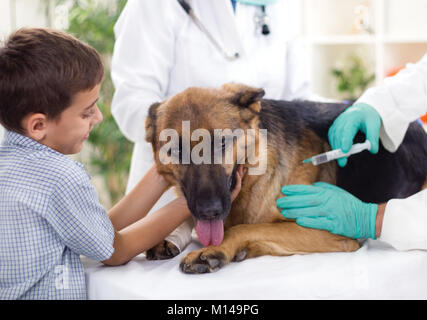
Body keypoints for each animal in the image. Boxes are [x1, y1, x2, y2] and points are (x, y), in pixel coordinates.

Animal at [145, 82, 427, 272]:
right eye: (176, 150)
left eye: (222, 143)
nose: (209, 211)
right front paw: (172, 234)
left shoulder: (325, 231)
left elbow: (245, 227)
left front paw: (216, 248)